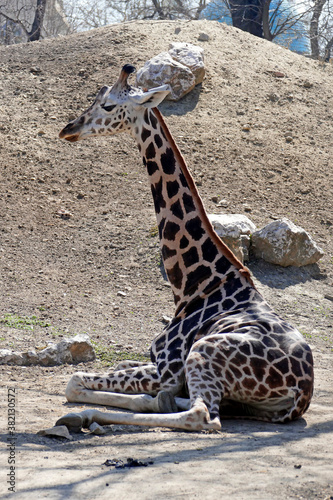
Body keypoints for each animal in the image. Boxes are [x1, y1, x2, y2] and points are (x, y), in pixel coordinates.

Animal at [55, 65, 312, 434]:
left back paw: (87, 415)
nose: (68, 129)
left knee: (202, 415)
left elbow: (73, 381)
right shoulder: (153, 363)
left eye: (107, 105)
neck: (194, 285)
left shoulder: (167, 367)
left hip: (204, 353)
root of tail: (301, 393)